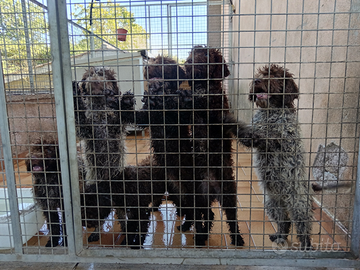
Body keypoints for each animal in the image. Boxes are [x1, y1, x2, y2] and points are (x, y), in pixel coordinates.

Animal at [240, 64, 314, 250]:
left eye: (274, 76)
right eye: (260, 74)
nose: (256, 81)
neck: (270, 111)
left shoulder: (286, 140)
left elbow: (272, 136)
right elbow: (251, 134)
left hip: (298, 204)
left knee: (302, 226)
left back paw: (306, 245)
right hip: (272, 204)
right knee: (284, 221)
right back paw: (280, 236)